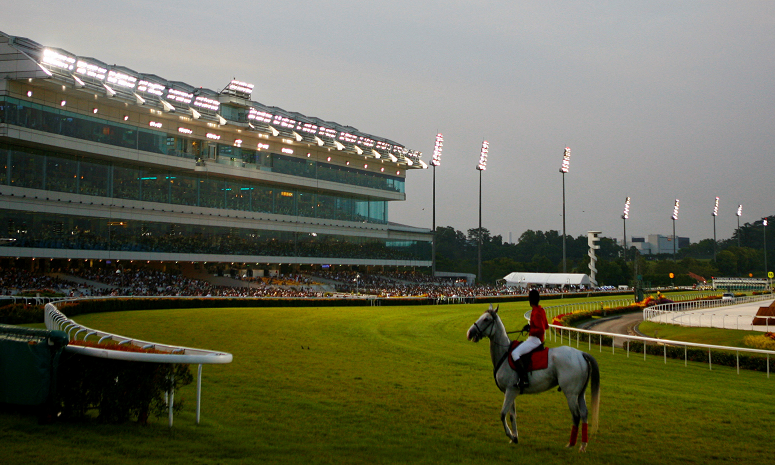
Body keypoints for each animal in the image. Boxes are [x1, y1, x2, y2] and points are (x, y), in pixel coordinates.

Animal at [466, 302, 600, 452]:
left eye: (486, 319)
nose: (470, 333)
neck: (504, 354)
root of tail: (581, 354)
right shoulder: (511, 392)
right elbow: (512, 415)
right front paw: (515, 437)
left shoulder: (510, 391)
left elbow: (502, 414)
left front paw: (511, 435)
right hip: (580, 393)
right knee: (584, 414)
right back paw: (582, 446)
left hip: (570, 393)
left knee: (576, 415)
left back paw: (571, 444)